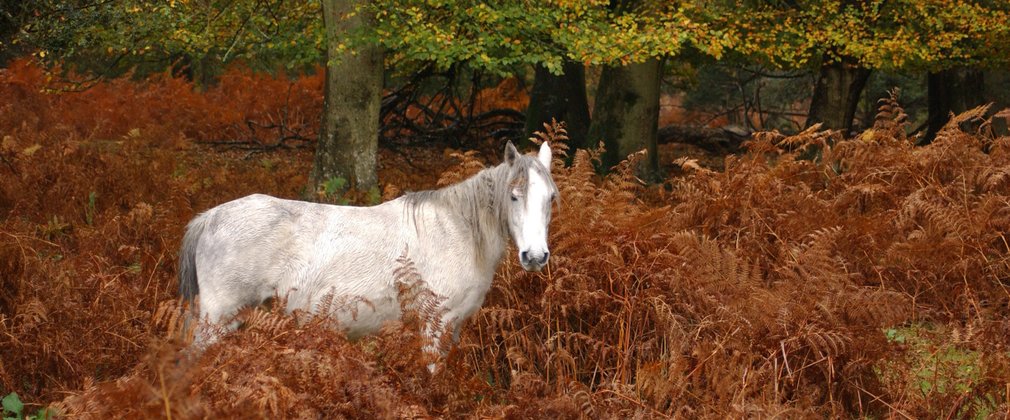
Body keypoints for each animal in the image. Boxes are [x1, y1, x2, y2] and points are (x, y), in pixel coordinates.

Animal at [177, 141, 557, 355]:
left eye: (551, 198)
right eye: (514, 196)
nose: (535, 256)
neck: (456, 230)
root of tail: (209, 217)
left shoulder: (453, 329)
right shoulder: (434, 326)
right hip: (218, 318)